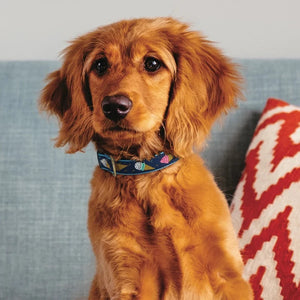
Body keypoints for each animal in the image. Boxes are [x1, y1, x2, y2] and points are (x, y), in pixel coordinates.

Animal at [38, 17, 252, 300]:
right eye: (100, 65)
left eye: (152, 63)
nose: (114, 107)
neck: (146, 173)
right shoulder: (126, 276)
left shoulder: (228, 276)